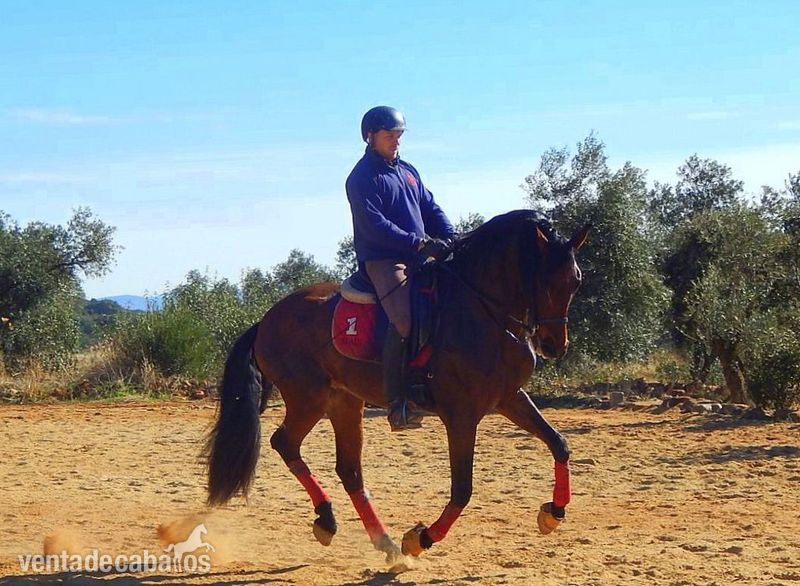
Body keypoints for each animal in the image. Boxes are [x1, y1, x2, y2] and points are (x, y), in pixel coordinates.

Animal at [204, 209, 589, 564]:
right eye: (545, 280)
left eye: (575, 281)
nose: (554, 345)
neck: (481, 311)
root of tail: (266, 320)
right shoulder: (461, 414)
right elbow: (462, 489)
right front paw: (420, 538)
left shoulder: (509, 398)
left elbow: (559, 443)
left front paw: (553, 513)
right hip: (308, 398)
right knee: (285, 444)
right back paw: (329, 521)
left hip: (344, 402)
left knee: (349, 470)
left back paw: (381, 541)